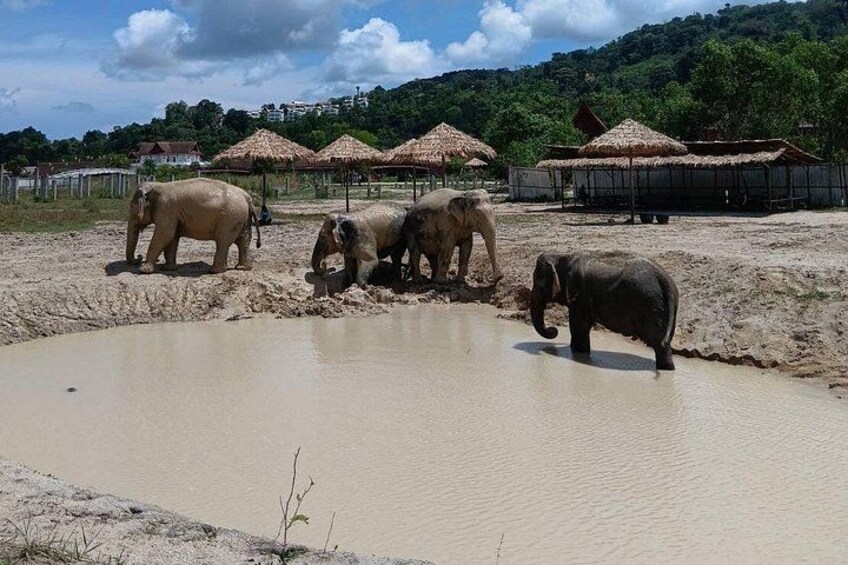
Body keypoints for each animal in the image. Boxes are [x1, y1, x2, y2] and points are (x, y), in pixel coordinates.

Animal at [126, 178, 261, 274]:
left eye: (131, 207)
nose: (139, 257)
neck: (157, 185)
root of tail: (247, 197)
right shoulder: (172, 214)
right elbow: (172, 237)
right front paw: (168, 269)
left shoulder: (166, 208)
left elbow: (165, 234)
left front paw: (144, 270)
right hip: (242, 219)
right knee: (243, 241)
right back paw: (242, 268)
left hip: (230, 218)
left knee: (223, 241)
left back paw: (214, 271)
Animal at [530, 251, 679, 370]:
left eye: (538, 280)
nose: (553, 330)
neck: (562, 256)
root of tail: (665, 279)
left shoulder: (579, 295)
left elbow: (578, 326)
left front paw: (578, 352)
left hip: (651, 303)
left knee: (659, 343)